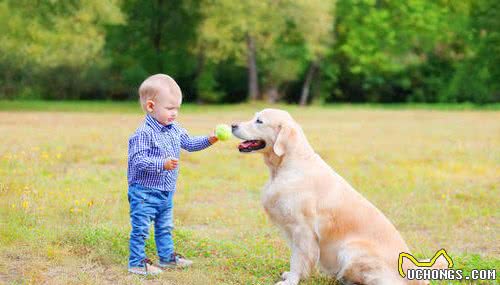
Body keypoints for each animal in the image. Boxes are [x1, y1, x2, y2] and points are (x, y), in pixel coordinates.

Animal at [230, 108, 442, 284]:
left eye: (259, 121)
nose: (233, 125)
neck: (286, 165)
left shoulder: (302, 228)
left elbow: (298, 258)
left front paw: (291, 281)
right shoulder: (291, 229)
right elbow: (296, 257)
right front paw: (290, 276)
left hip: (351, 250)